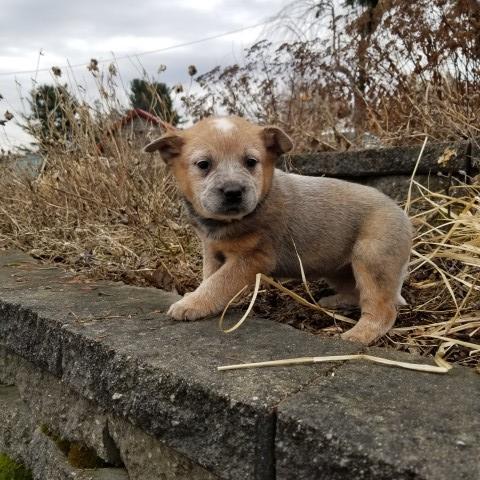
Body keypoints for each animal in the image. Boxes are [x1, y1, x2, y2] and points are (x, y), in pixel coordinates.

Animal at [144, 118, 410, 346]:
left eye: (251, 162)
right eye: (203, 164)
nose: (233, 191)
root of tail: (403, 214)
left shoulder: (251, 259)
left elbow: (218, 283)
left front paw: (192, 303)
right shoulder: (212, 252)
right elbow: (210, 278)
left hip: (371, 260)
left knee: (383, 310)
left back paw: (358, 334)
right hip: (339, 268)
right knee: (356, 293)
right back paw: (334, 302)